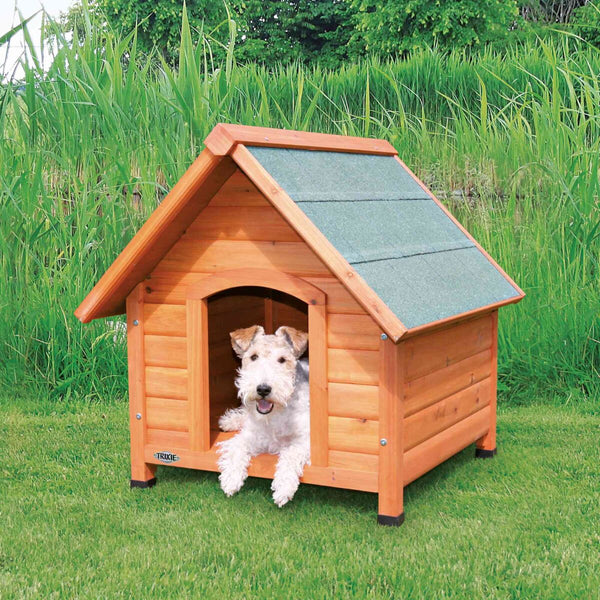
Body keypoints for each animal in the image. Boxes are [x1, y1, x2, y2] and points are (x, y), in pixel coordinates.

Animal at [216, 324, 310, 506]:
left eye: (282, 359)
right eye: (253, 357)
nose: (263, 389)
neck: (275, 416)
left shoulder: (305, 441)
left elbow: (290, 454)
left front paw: (283, 489)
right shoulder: (252, 436)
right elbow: (236, 447)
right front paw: (230, 480)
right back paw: (228, 421)